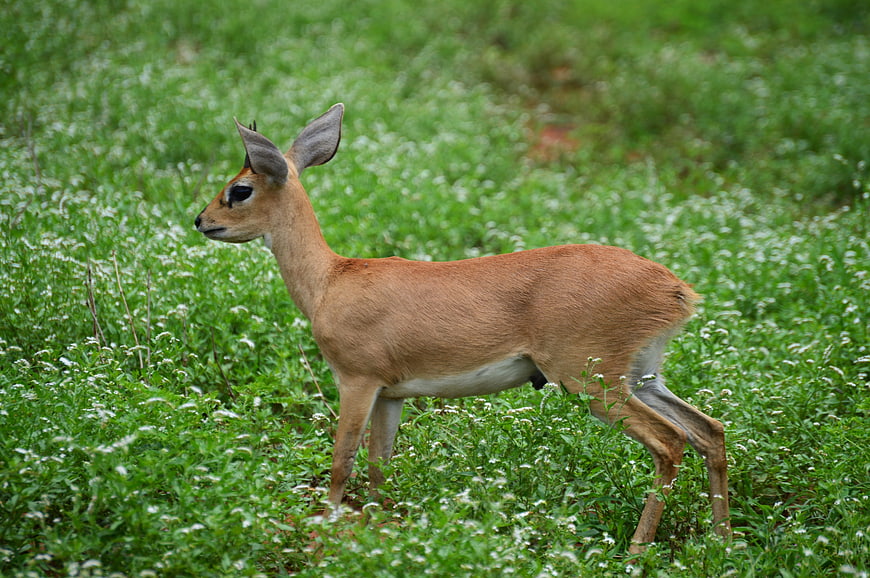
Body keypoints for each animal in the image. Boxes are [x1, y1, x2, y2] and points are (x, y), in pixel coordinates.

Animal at [194, 103, 732, 553]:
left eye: (239, 189)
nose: (201, 220)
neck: (331, 280)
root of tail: (676, 290)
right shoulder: (392, 393)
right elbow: (379, 466)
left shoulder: (357, 380)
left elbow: (341, 460)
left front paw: (320, 537)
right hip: (641, 376)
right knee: (710, 430)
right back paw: (723, 542)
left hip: (593, 382)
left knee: (670, 442)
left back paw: (638, 550)